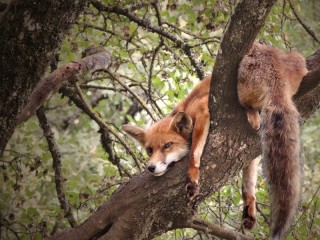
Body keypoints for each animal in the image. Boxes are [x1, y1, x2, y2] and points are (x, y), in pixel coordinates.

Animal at [122, 43, 308, 240]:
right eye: (149, 150)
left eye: (167, 145)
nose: (151, 167)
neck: (187, 106)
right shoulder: (251, 150)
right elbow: (248, 185)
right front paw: (249, 211)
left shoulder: (203, 113)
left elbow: (194, 153)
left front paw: (193, 179)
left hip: (242, 89)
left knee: (248, 105)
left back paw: (252, 115)